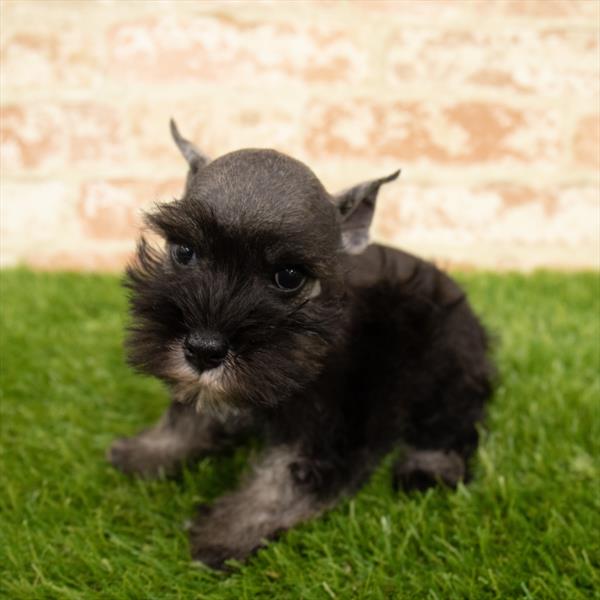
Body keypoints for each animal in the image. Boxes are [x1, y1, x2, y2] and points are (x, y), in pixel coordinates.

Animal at [108, 119, 492, 568]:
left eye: (289, 276)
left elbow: (288, 478)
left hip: (446, 361)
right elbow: (187, 415)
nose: (203, 349)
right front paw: (148, 451)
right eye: (184, 251)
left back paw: (429, 467)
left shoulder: (333, 426)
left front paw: (227, 533)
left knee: (453, 422)